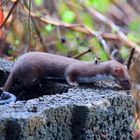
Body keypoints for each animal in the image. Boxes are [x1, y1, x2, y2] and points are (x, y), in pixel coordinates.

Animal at [3, 51, 131, 91]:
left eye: (130, 79)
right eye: (125, 80)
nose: (130, 88)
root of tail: (16, 65)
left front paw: (96, 82)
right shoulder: (74, 68)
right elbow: (69, 74)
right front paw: (74, 83)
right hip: (31, 72)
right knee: (25, 83)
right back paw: (38, 82)